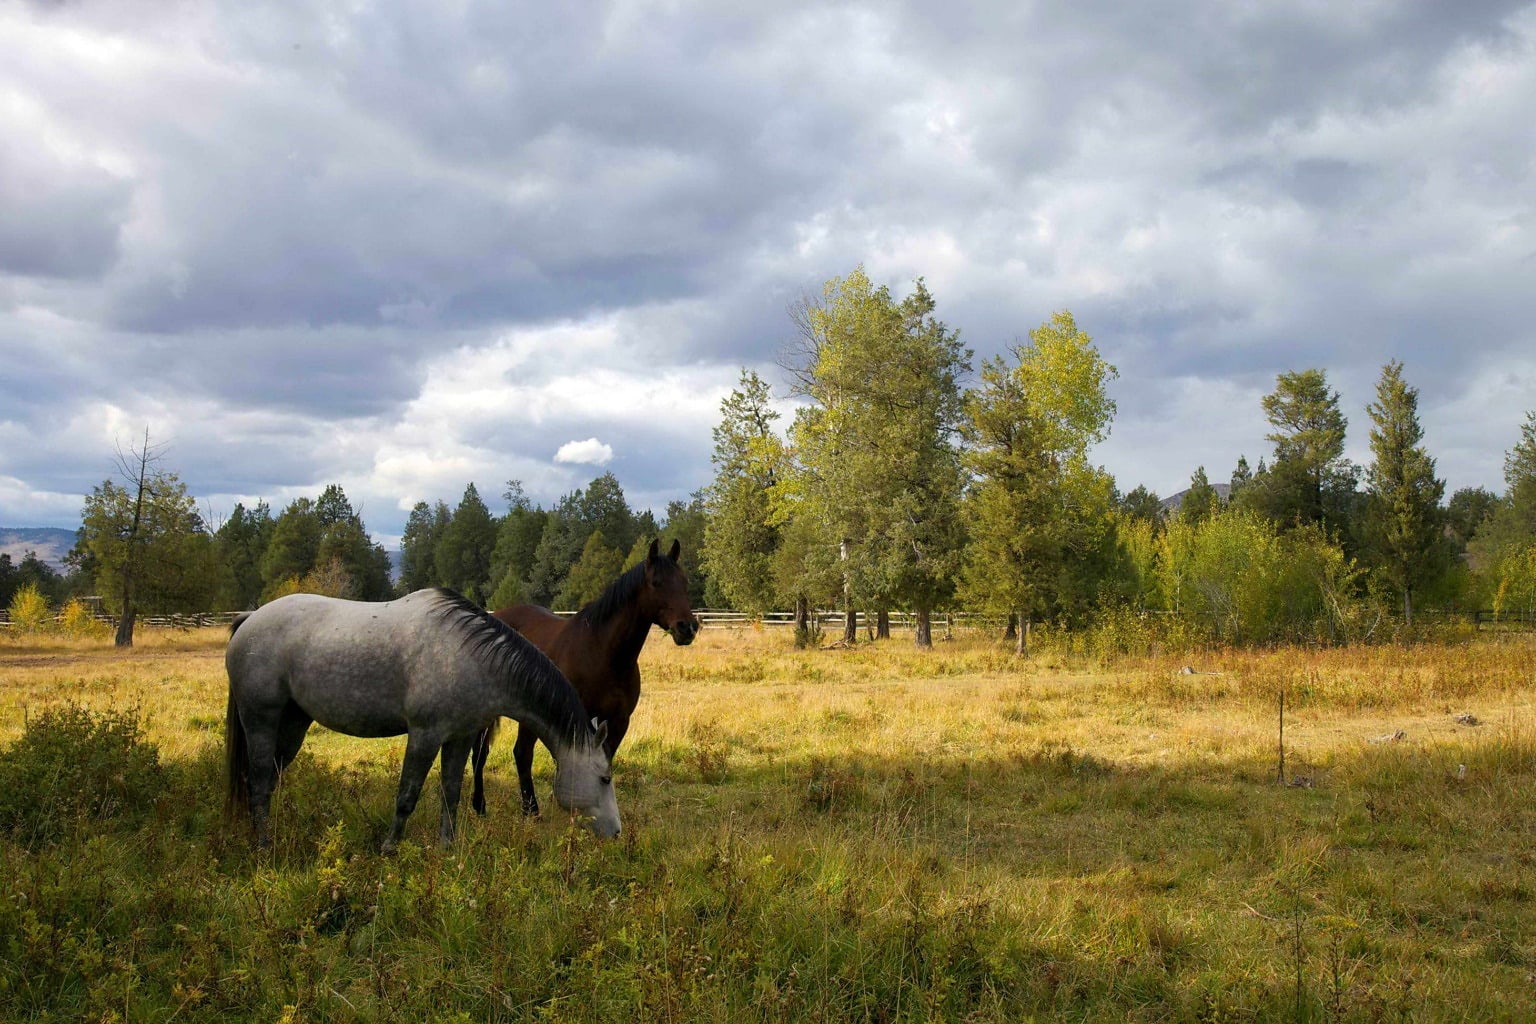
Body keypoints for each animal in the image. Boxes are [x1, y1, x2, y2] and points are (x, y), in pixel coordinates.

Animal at [224, 589, 620, 853]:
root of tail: (248, 621)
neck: (470, 657)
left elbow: (451, 794)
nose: (616, 832)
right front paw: (389, 849)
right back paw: (263, 847)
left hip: (292, 725)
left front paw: (448, 849)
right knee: (257, 780)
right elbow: (407, 795)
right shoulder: (425, 735)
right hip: (260, 720)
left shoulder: (460, 738)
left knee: (268, 780)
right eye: (604, 778)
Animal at [466, 537, 703, 816]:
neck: (602, 652)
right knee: (499, 753)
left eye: (684, 582)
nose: (687, 628)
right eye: (656, 582)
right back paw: (510, 809)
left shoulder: (618, 721)